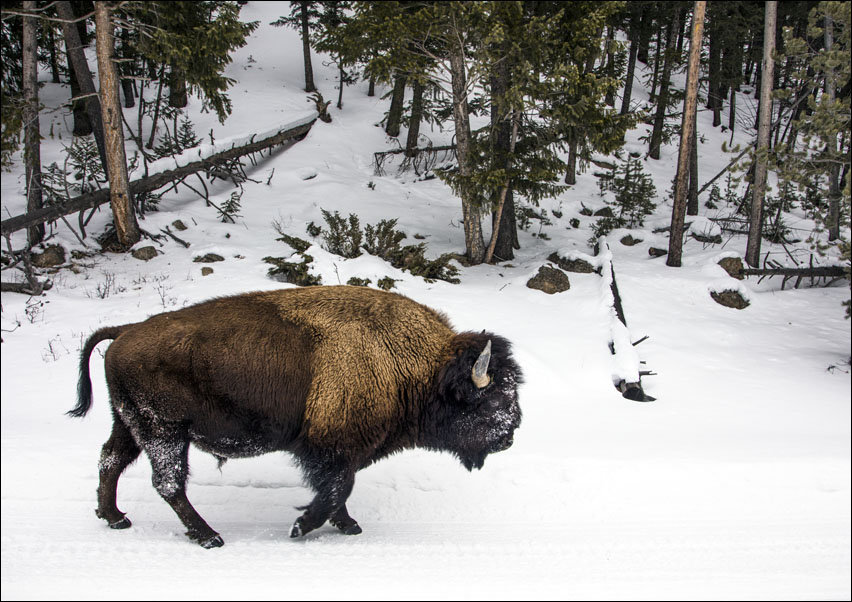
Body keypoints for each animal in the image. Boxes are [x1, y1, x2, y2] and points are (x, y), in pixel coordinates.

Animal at [70, 285, 523, 547]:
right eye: (492, 399)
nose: (510, 434)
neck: (416, 364)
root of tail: (124, 331)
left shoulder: (343, 451)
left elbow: (340, 490)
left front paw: (348, 525)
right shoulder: (330, 448)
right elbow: (337, 488)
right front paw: (302, 528)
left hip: (132, 425)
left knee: (111, 460)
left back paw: (115, 518)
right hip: (164, 432)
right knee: (168, 482)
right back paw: (209, 537)